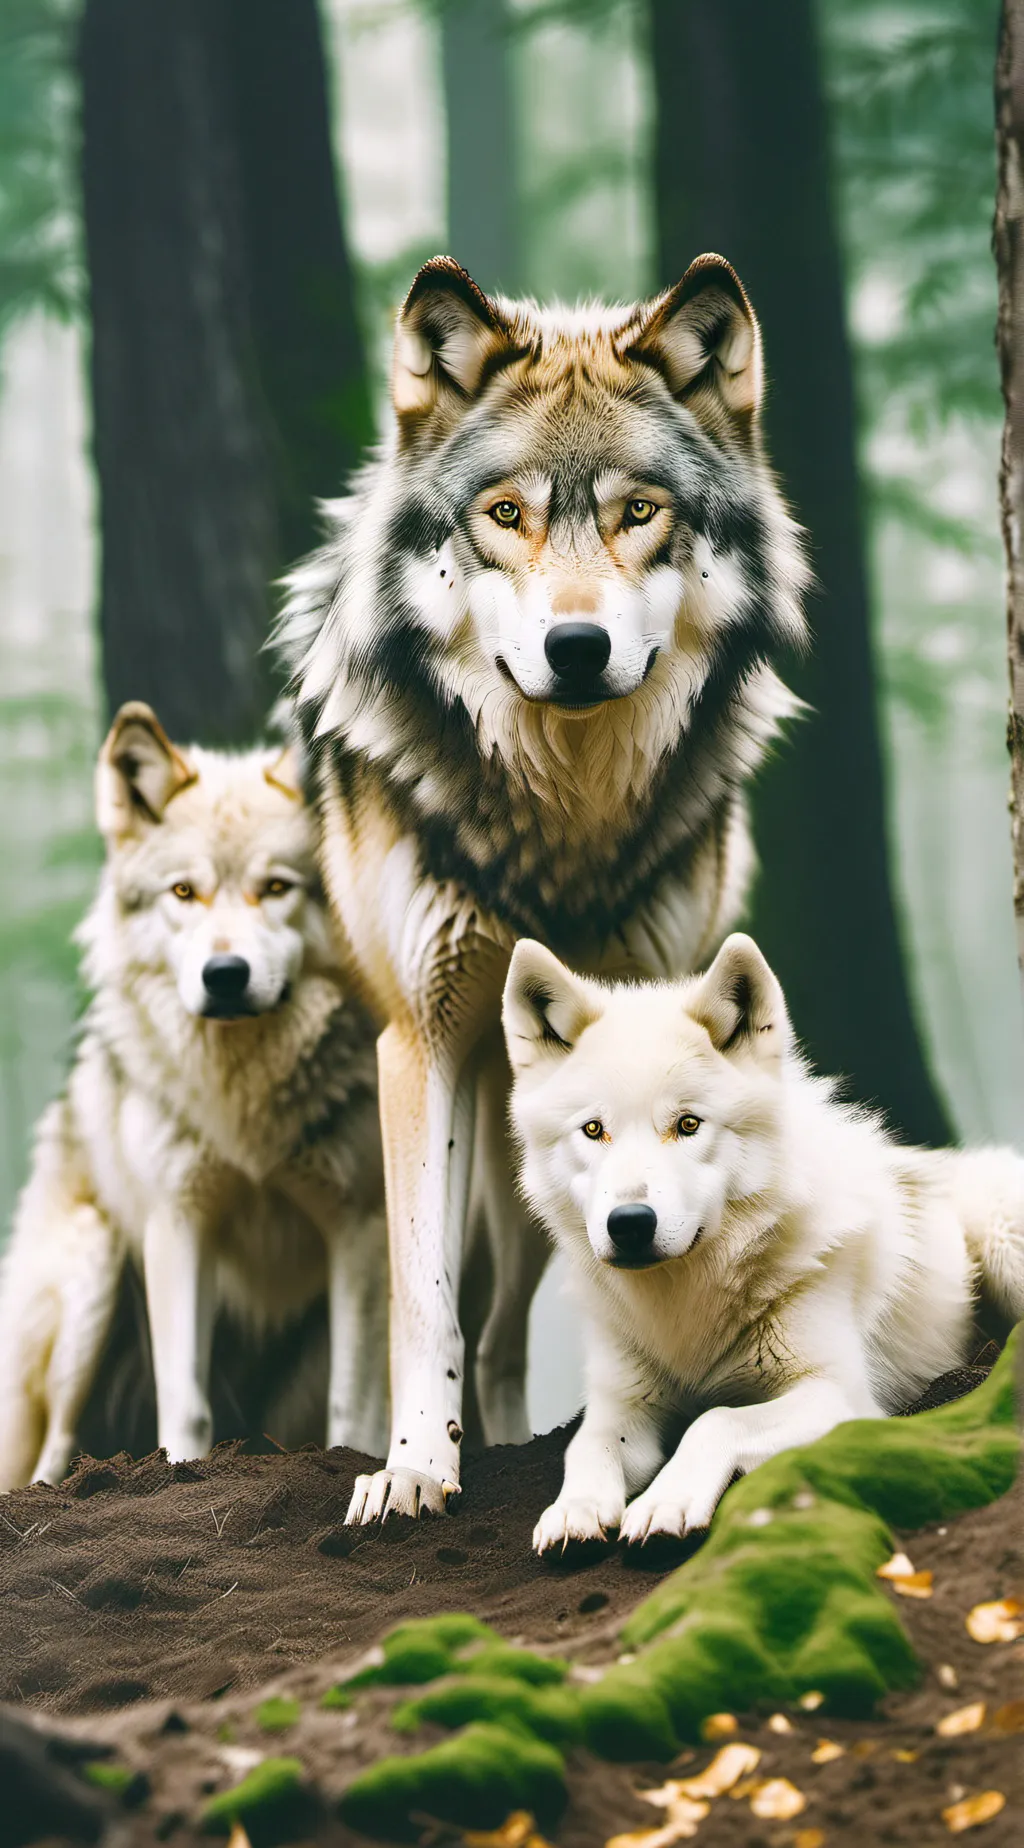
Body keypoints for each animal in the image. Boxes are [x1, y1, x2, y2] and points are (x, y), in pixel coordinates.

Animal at [0, 703, 385, 1491]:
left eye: (278, 888)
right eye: (184, 892)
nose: (226, 974)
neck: (244, 1100)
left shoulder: (359, 1231)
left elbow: (352, 1409)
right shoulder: (179, 1224)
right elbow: (186, 1402)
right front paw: (182, 1473)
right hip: (92, 1276)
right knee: (51, 1448)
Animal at [277, 252, 810, 1523]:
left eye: (638, 513)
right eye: (506, 515)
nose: (575, 649)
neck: (562, 819)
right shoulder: (417, 1041)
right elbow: (424, 1301)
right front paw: (414, 1470)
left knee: (510, 1321)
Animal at [502, 932, 1024, 1549]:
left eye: (688, 1125)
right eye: (593, 1130)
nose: (629, 1222)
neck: (687, 1305)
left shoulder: (840, 1394)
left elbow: (714, 1420)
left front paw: (665, 1502)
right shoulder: (621, 1405)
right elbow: (586, 1446)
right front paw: (575, 1510)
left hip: (1002, 1236)